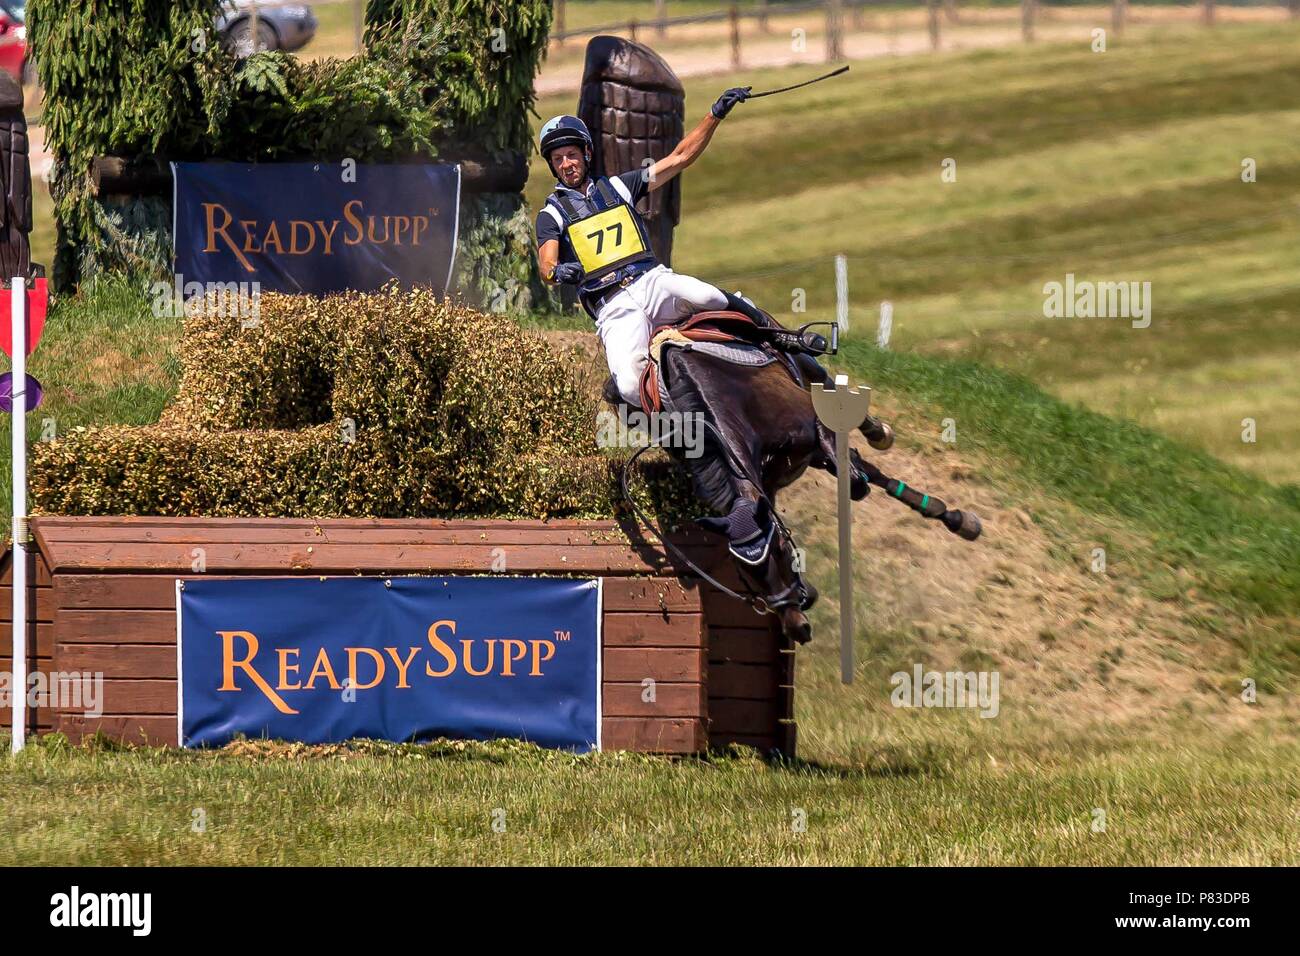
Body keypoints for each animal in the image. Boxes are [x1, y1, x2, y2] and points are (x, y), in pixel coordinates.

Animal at [624, 310, 977, 647]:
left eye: (779, 552)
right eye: (743, 571)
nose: (797, 627)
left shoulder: (818, 429)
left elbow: (856, 479)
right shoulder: (762, 484)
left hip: (805, 367)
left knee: (835, 399)